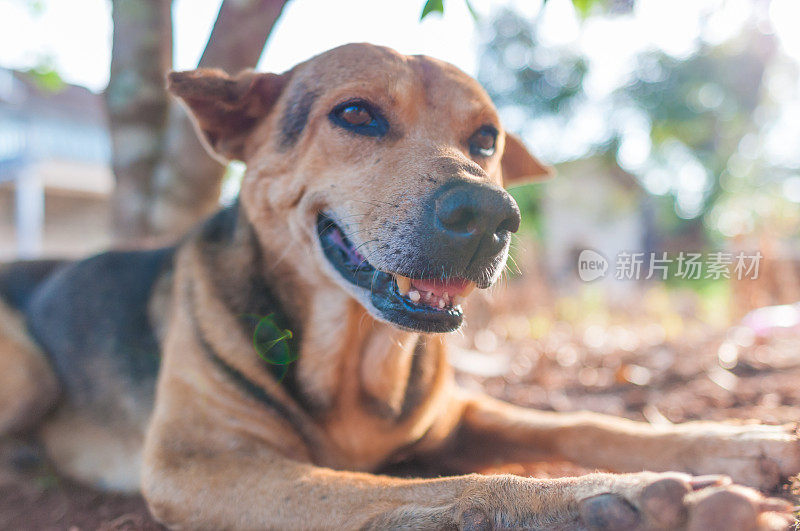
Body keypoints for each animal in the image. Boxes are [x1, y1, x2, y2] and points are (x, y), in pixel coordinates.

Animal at [1, 43, 800, 528]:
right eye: (356, 113)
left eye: (487, 139)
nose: (489, 215)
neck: (353, 356)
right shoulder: (203, 466)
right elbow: (436, 490)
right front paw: (616, 501)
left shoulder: (457, 414)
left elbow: (582, 424)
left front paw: (741, 441)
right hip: (30, 371)